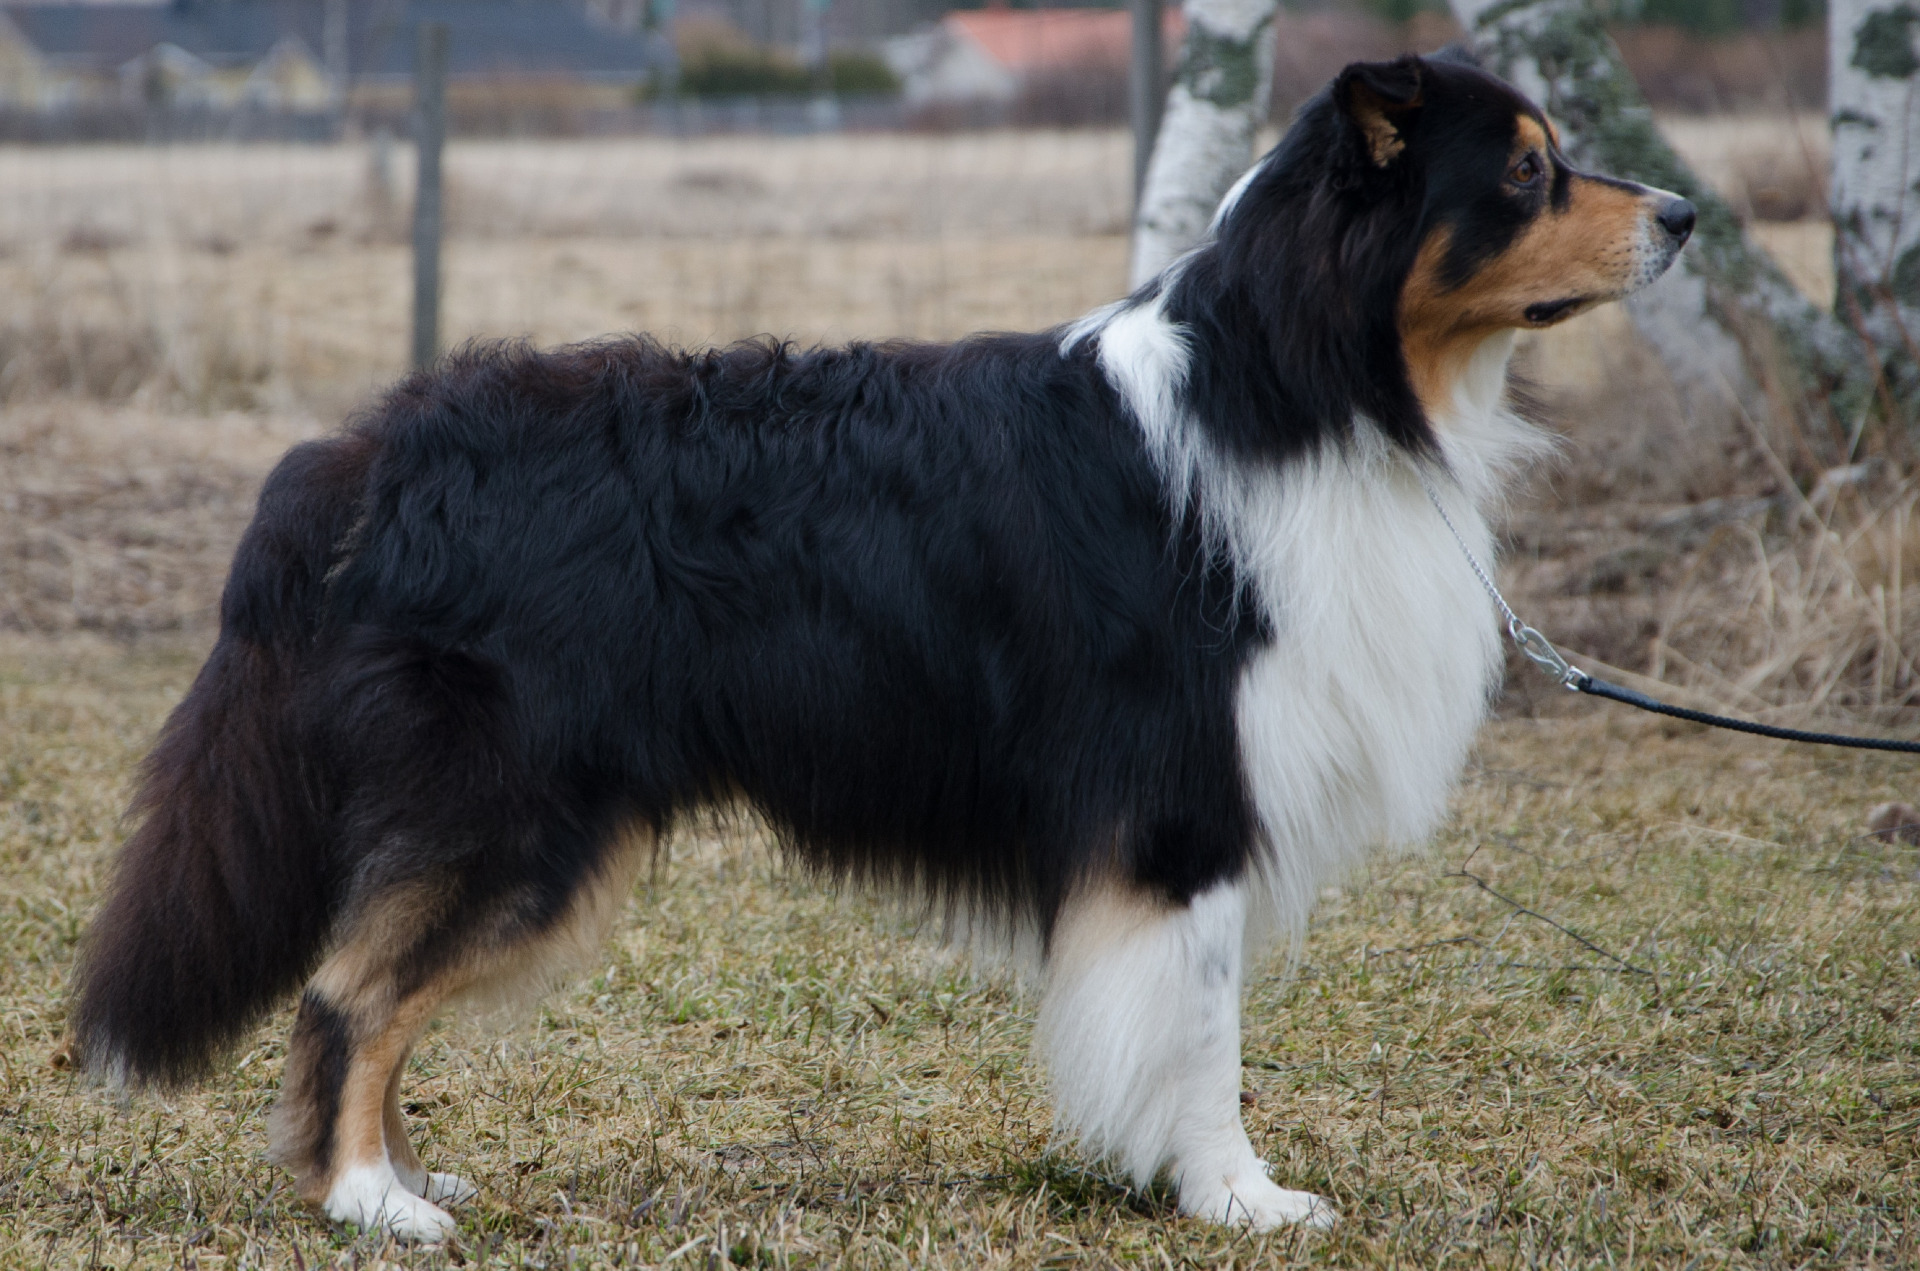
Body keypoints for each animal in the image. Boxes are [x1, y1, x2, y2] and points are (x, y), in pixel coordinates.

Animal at [70, 52, 1692, 1242]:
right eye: (1528, 170)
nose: (1683, 213)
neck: (1299, 382)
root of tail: (366, 454)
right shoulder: (1182, 804)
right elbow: (1204, 1027)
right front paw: (1237, 1194)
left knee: (374, 984)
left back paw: (408, 1172)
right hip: (518, 812)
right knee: (348, 990)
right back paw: (368, 1201)